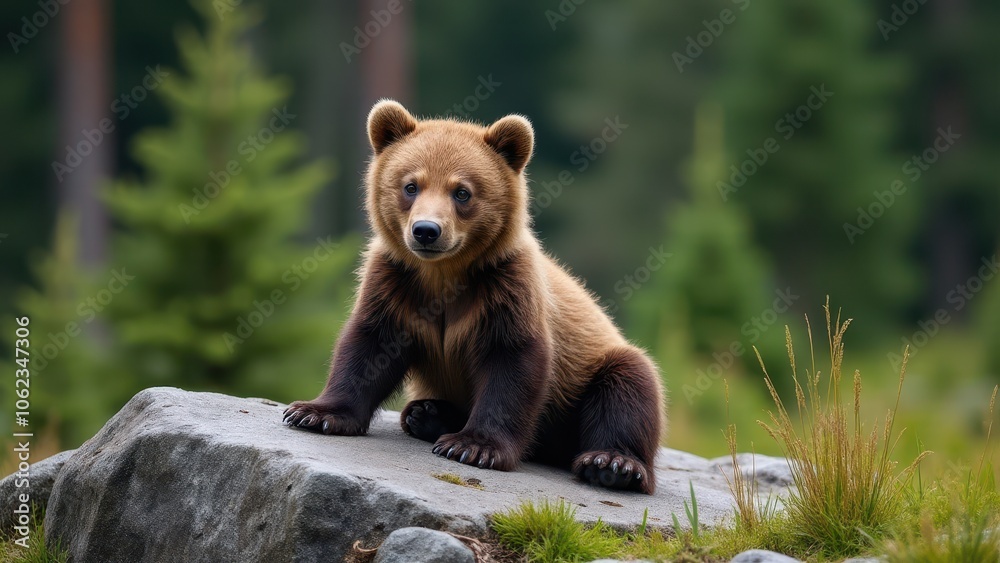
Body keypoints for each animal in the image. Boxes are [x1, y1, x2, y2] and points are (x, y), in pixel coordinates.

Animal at [283, 100, 665, 493]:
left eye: (462, 191)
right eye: (410, 185)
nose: (426, 231)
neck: (444, 274)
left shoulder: (506, 288)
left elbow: (511, 362)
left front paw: (474, 446)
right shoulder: (395, 284)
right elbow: (368, 346)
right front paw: (313, 412)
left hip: (591, 368)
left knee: (627, 385)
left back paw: (612, 464)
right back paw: (428, 414)